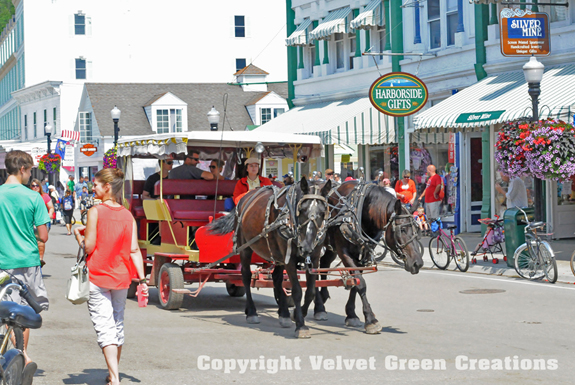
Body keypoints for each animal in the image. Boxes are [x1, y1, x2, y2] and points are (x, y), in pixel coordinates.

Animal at [209, 177, 330, 336]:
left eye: (322, 213)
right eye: (302, 210)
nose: (306, 246)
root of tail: (245, 199)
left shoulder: (314, 259)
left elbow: (310, 292)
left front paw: (296, 314)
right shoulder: (289, 259)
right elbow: (297, 291)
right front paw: (300, 325)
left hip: (277, 256)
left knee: (277, 279)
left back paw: (283, 314)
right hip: (245, 247)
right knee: (246, 276)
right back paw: (251, 312)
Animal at [308, 180, 426, 332]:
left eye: (417, 228)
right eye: (403, 229)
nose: (418, 263)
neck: (360, 212)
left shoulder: (362, 256)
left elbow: (355, 282)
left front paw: (351, 314)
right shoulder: (344, 253)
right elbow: (361, 283)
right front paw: (371, 319)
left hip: (330, 247)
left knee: (324, 263)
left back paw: (323, 297)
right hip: (316, 245)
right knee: (314, 269)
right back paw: (319, 307)